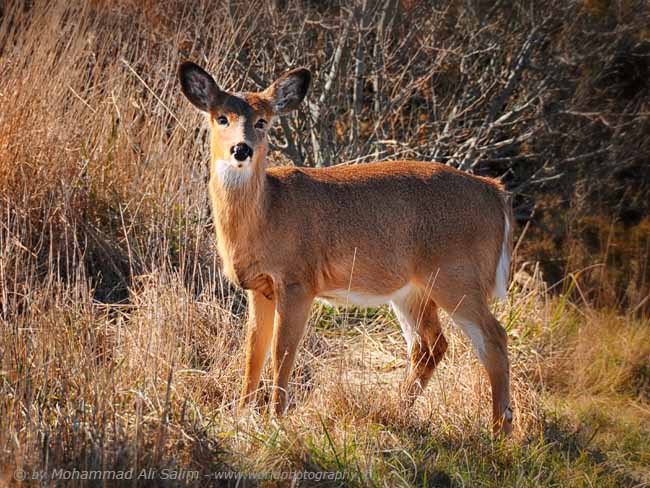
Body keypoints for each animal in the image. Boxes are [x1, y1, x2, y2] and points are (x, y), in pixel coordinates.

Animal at [177, 60, 512, 434]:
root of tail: (496, 192)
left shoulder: (298, 280)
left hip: (457, 275)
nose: (241, 149)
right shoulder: (259, 286)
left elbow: (282, 351)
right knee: (429, 346)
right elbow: (253, 351)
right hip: (412, 290)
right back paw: (396, 411)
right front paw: (240, 416)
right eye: (221, 117)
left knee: (494, 338)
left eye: (263, 121)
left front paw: (276, 419)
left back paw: (500, 430)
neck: (267, 214)